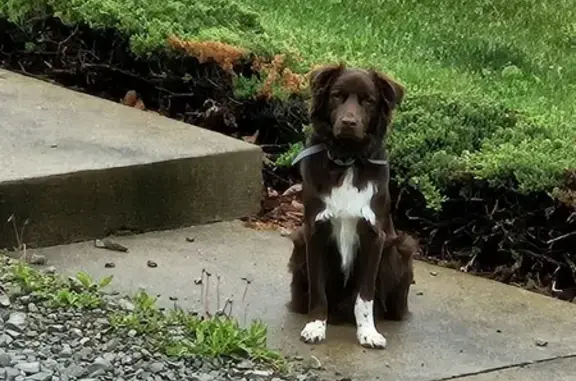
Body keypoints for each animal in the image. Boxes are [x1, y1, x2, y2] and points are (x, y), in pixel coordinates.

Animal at [286, 63, 416, 348]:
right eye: (337, 95)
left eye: (368, 101)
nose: (348, 122)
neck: (347, 158)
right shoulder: (314, 232)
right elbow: (318, 290)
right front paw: (315, 326)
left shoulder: (374, 236)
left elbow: (364, 296)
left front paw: (368, 332)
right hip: (299, 244)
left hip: (400, 247)